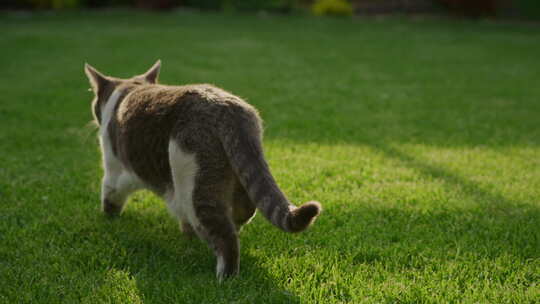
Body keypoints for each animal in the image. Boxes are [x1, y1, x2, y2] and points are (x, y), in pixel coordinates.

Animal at [83, 60, 320, 280]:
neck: (130, 89)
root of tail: (227, 108)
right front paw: (186, 235)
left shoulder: (115, 169)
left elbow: (110, 195)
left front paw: (109, 218)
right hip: (238, 176)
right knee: (244, 212)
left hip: (194, 189)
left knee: (225, 237)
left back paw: (226, 278)